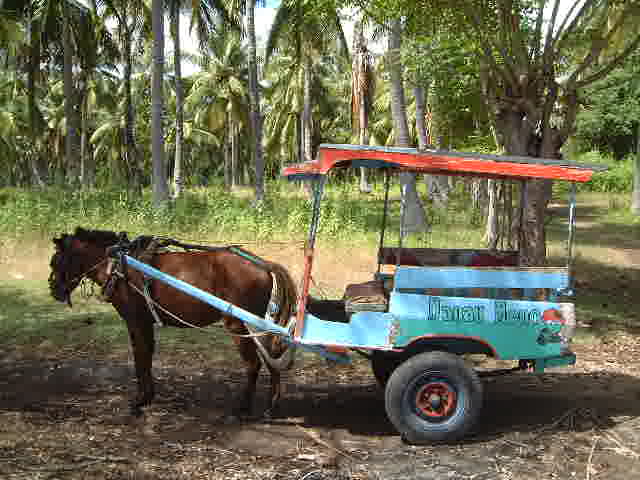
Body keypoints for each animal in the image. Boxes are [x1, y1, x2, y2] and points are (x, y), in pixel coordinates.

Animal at [48, 227, 298, 418]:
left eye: (56, 261)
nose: (54, 290)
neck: (117, 264)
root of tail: (265, 265)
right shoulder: (144, 323)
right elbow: (147, 356)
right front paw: (147, 397)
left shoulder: (135, 321)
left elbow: (140, 356)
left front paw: (139, 400)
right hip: (259, 326)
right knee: (272, 359)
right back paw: (271, 406)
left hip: (239, 324)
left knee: (254, 364)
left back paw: (244, 408)